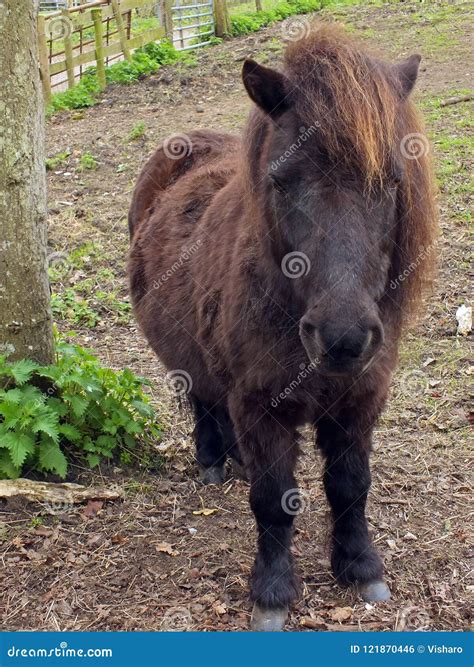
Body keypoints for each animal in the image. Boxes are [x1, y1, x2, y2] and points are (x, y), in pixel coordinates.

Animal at [127, 26, 436, 632]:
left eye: (390, 180)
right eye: (283, 182)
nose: (343, 337)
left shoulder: (360, 400)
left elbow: (350, 487)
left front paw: (361, 568)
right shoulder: (261, 405)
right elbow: (273, 500)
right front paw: (271, 593)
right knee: (202, 399)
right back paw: (212, 461)